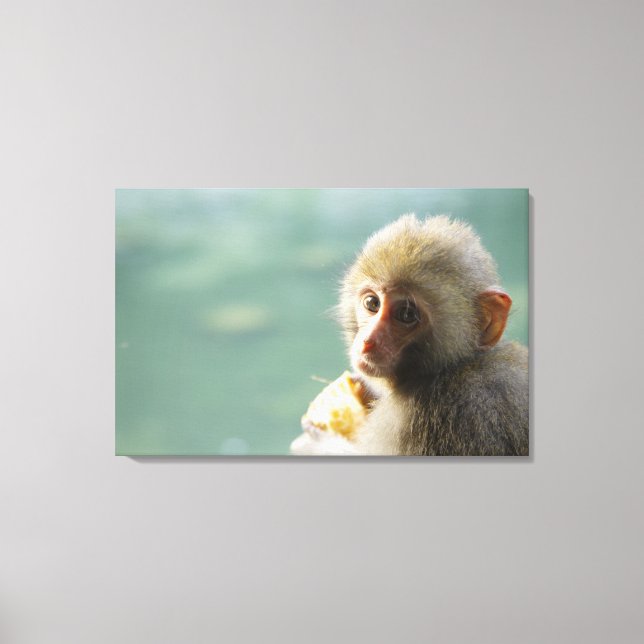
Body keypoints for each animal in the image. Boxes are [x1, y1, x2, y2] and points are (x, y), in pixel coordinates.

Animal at [291, 213, 528, 456]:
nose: (368, 341)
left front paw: (312, 443)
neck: (452, 368)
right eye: (372, 303)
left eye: (406, 314)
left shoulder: (421, 418)